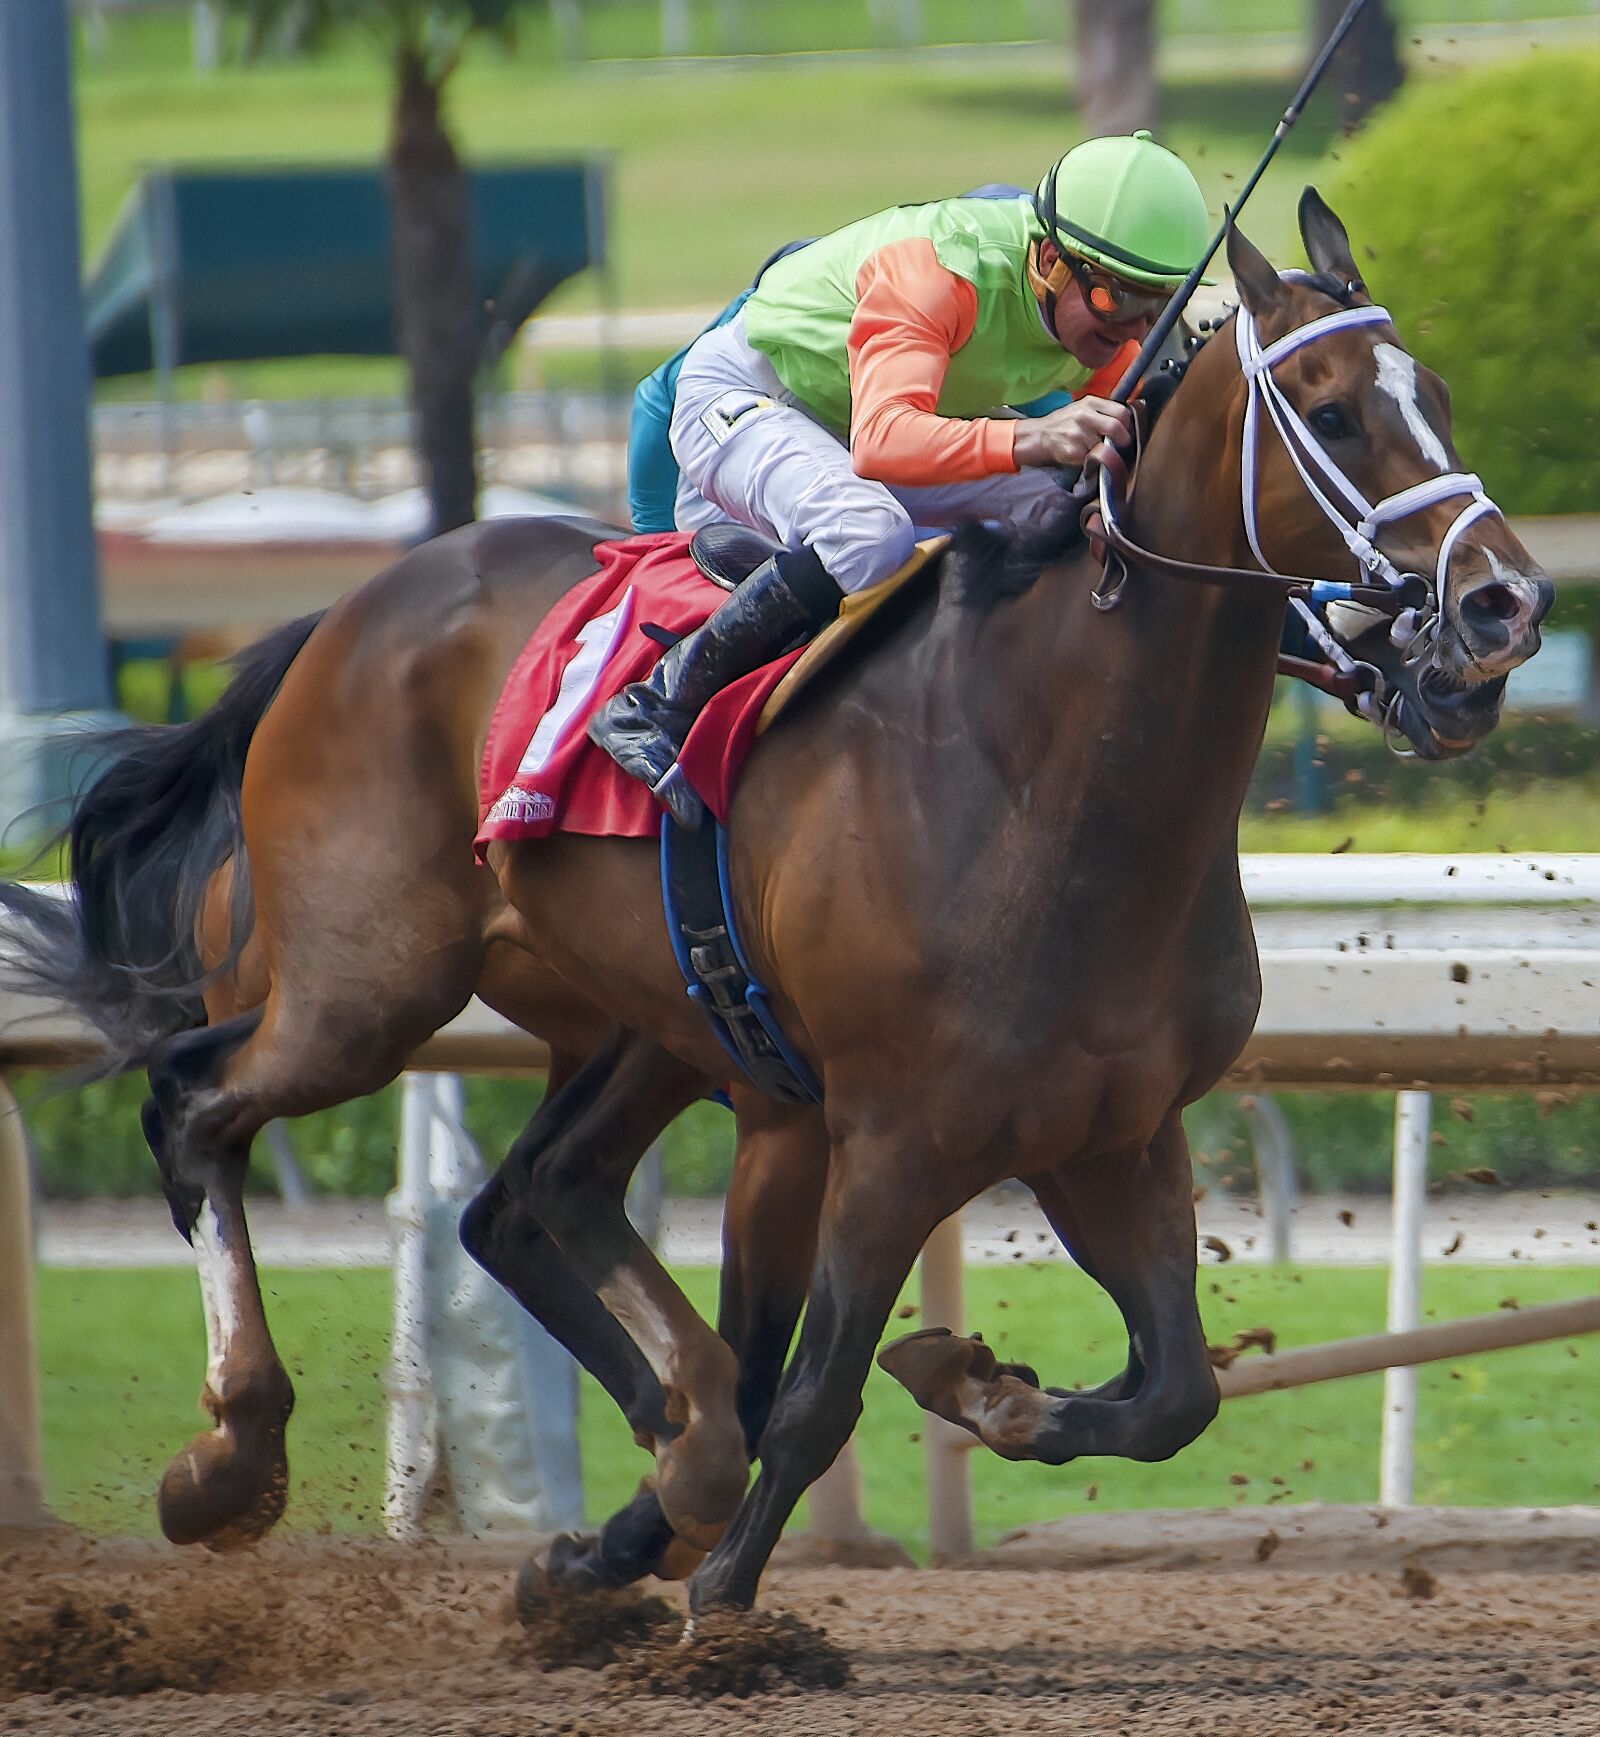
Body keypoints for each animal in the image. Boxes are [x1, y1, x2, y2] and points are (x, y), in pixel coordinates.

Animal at [0, 193, 1550, 1617]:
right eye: (1333, 411)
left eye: (1439, 396)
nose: (1503, 605)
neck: (1047, 787)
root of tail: (347, 609)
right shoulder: (892, 1133)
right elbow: (812, 1397)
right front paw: (724, 1610)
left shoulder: (1108, 1132)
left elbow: (1173, 1391)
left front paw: (972, 1388)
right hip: (365, 986)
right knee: (196, 1101)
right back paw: (234, 1459)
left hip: (644, 1024)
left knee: (529, 1197)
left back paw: (640, 1481)